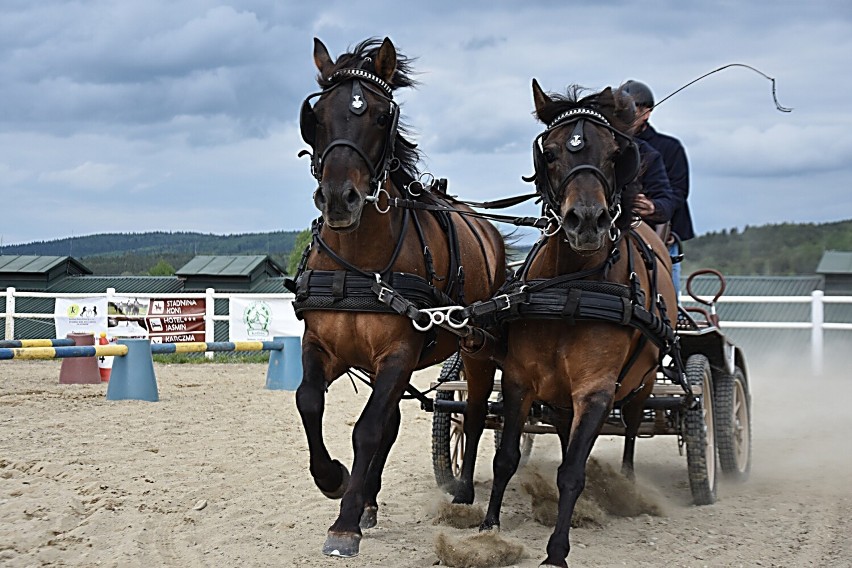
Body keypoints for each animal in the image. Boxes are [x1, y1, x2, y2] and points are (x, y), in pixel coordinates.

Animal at [292, 38, 506, 560]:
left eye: (378, 115)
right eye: (316, 115)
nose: (339, 199)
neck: (357, 264)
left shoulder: (399, 353)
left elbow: (367, 429)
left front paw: (344, 524)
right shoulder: (324, 347)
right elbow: (310, 403)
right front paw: (335, 481)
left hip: (477, 348)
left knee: (473, 414)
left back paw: (463, 490)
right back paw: (369, 498)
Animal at [480, 82, 680, 564]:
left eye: (614, 154)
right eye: (550, 153)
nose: (586, 220)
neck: (570, 289)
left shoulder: (595, 390)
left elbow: (572, 470)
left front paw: (556, 550)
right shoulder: (518, 379)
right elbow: (506, 458)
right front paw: (489, 526)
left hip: (642, 384)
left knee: (631, 429)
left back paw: (627, 484)